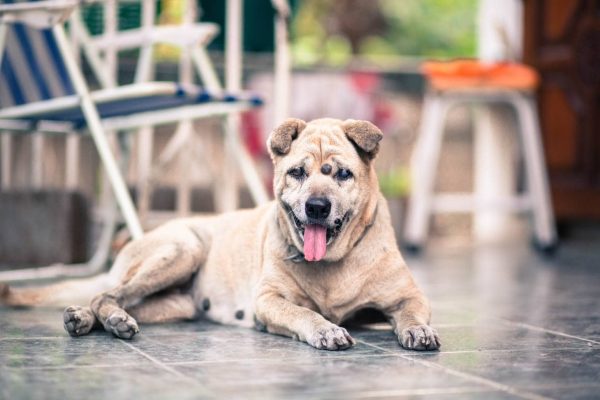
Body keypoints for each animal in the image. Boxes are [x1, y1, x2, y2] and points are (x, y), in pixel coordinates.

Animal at [0, 118, 440, 350]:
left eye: (343, 174)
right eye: (298, 172)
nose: (317, 207)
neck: (334, 264)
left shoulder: (407, 295)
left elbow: (413, 310)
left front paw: (417, 329)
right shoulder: (269, 301)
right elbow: (303, 312)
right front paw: (325, 328)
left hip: (175, 303)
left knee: (117, 299)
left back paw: (93, 320)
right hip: (183, 248)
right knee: (107, 294)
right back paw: (102, 318)